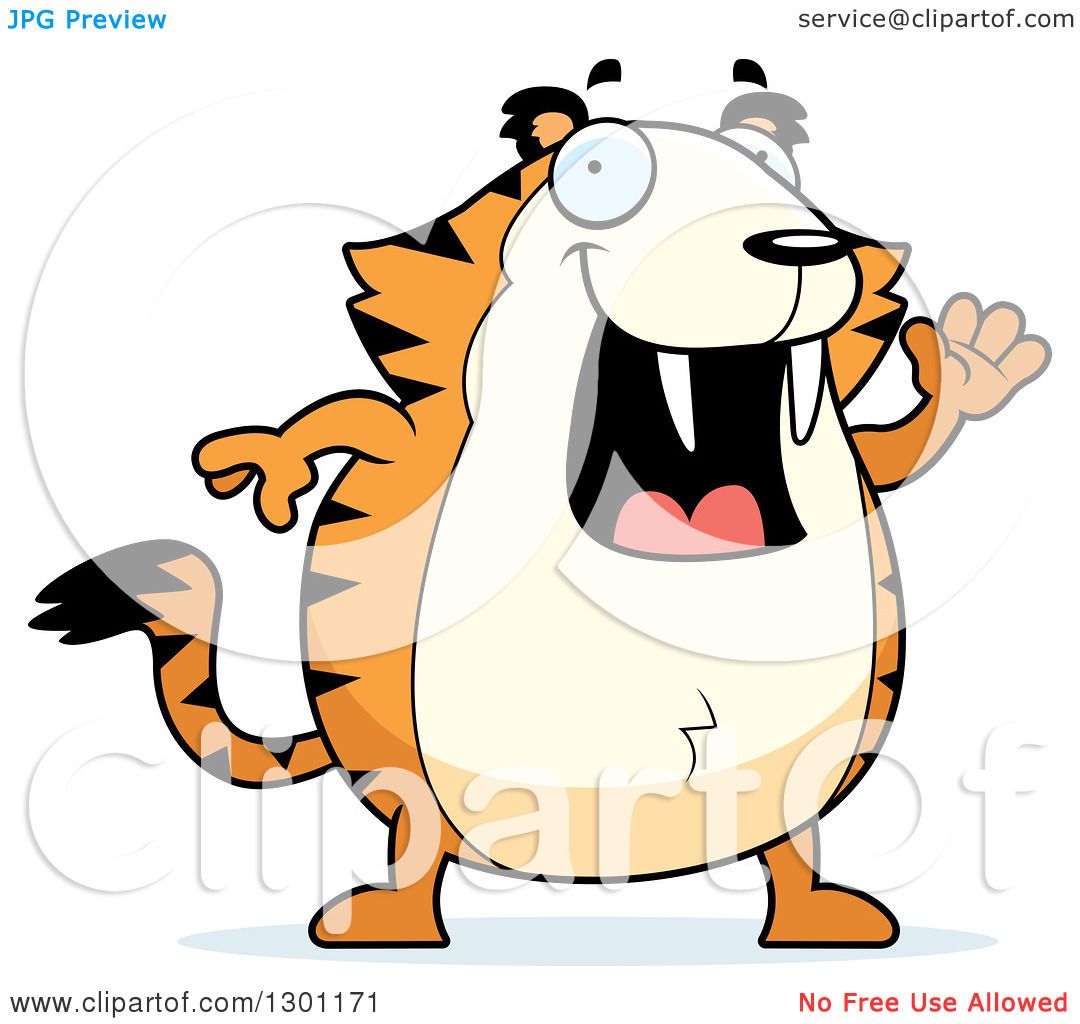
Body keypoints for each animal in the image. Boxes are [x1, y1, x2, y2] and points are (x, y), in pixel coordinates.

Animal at [31, 58, 1050, 950]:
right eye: (598, 174)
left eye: (773, 159)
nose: (801, 246)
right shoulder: (408, 451)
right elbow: (355, 419)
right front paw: (266, 463)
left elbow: (898, 447)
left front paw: (973, 362)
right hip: (405, 775)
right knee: (419, 844)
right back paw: (387, 926)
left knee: (789, 846)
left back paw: (818, 921)